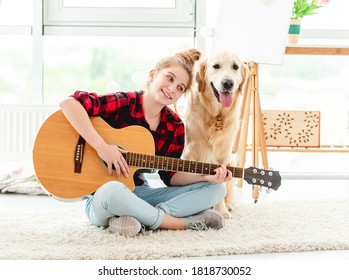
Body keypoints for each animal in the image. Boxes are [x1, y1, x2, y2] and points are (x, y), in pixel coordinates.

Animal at [182, 50, 247, 219]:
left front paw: (222, 210)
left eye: (235, 67)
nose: (228, 83)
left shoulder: (225, 154)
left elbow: (222, 184)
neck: (216, 116)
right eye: (216, 66)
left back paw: (228, 206)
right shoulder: (189, 152)